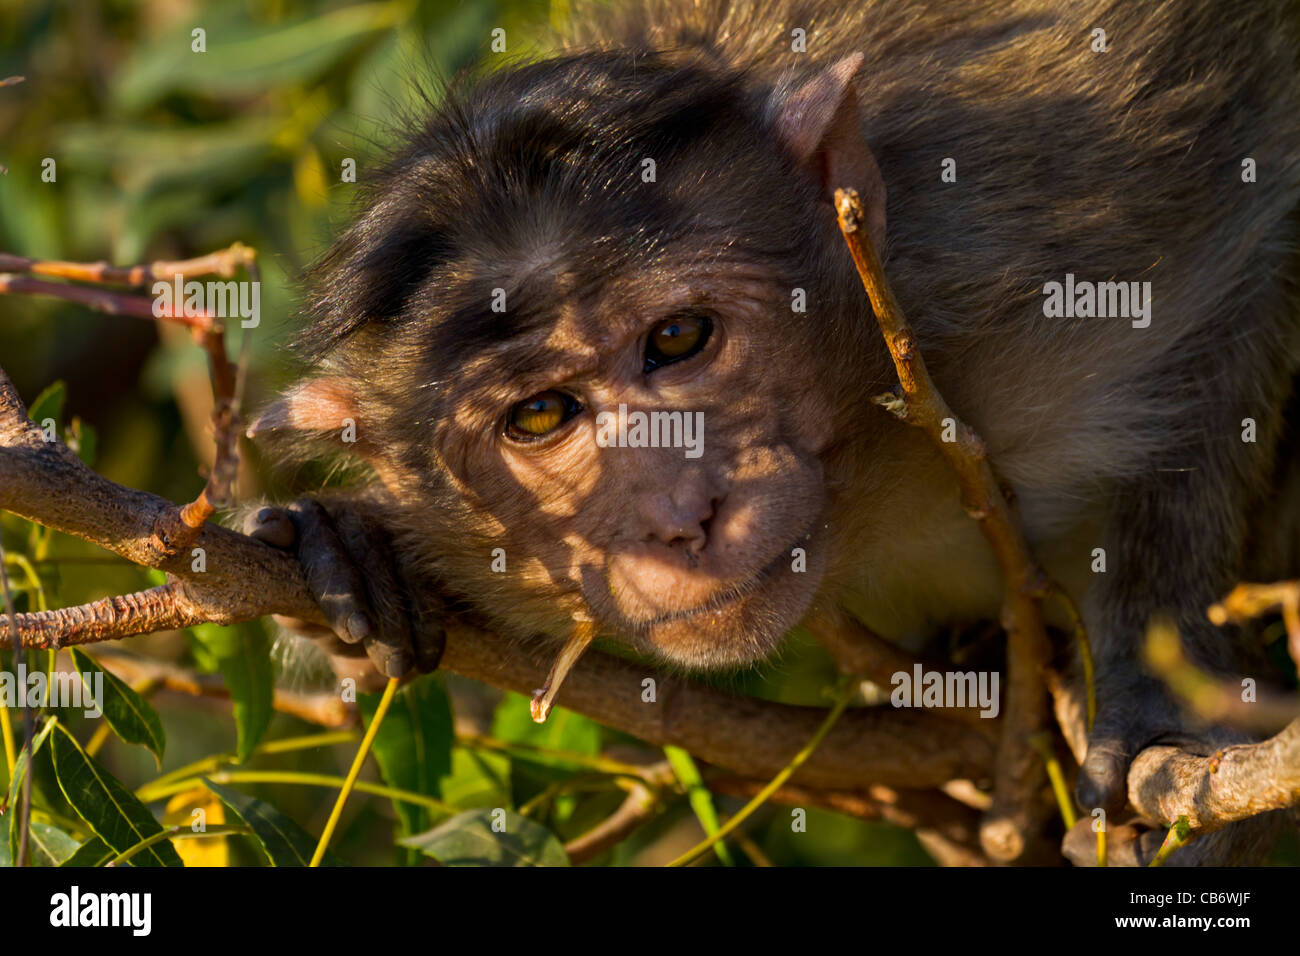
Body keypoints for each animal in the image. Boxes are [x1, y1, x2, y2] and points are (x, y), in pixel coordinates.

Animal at [244, 0, 1300, 868]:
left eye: (678, 338)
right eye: (540, 415)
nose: (679, 516)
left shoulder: (1055, 201)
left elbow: (1248, 233)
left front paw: (1164, 680)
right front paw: (356, 546)